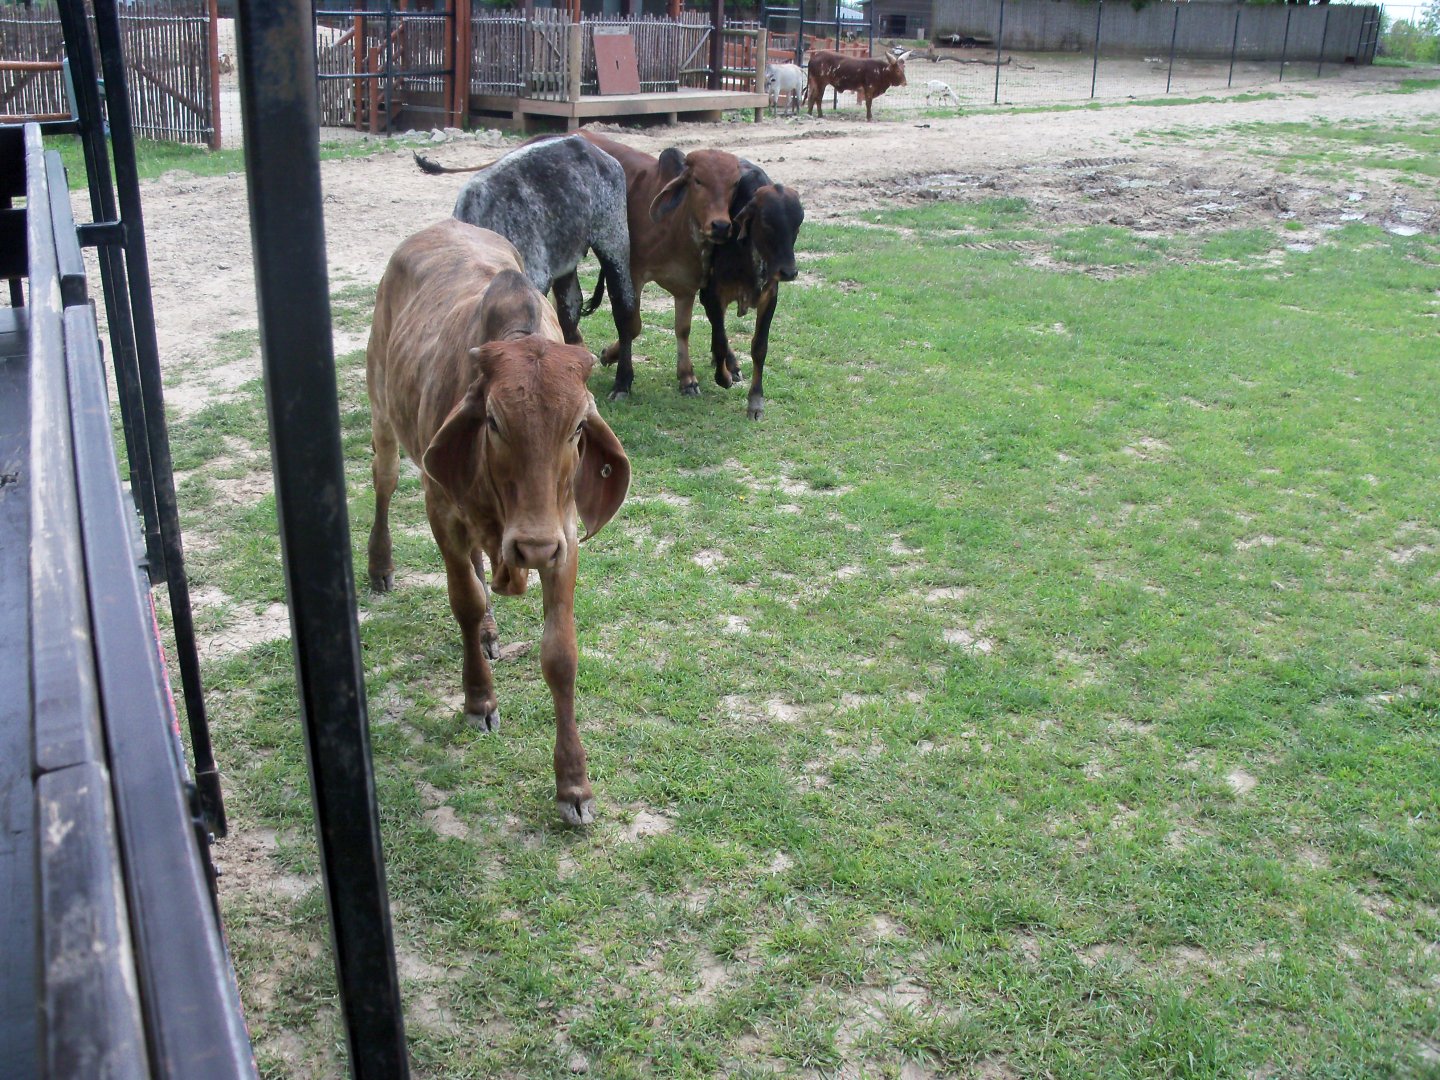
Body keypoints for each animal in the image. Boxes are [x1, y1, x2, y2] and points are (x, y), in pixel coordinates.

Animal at [366, 219, 631, 826]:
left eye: (578, 427)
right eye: (493, 421)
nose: (530, 547)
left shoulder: (563, 538)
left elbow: (560, 656)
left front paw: (573, 785)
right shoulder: (442, 510)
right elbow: (463, 600)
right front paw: (478, 699)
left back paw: (490, 629)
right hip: (382, 415)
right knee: (384, 483)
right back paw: (381, 565)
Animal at [417, 135, 637, 385]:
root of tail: (596, 151)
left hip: (614, 242)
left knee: (623, 307)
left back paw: (623, 380)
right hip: (566, 263)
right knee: (570, 308)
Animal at [699, 163, 804, 420]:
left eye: (797, 224)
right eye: (766, 222)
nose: (789, 272)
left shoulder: (770, 296)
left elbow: (759, 347)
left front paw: (756, 400)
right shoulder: (713, 294)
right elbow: (720, 338)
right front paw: (723, 377)